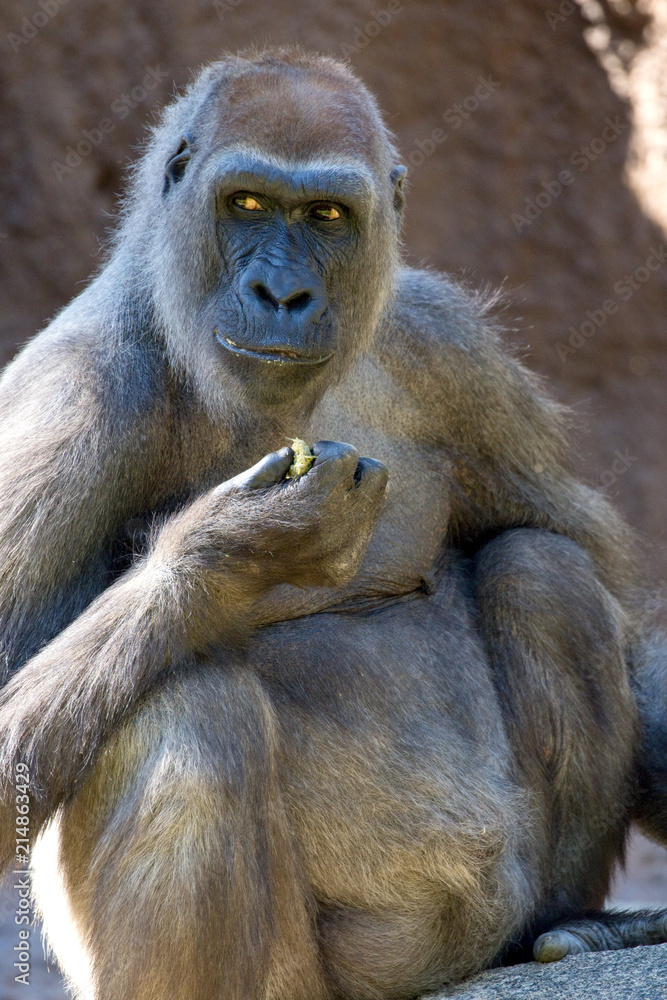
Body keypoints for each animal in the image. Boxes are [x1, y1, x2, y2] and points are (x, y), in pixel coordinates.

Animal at [0, 45, 666, 1000]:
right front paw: (239, 546)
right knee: (182, 707)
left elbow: (607, 588)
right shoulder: (70, 396)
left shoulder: (449, 345)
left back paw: (559, 924)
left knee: (545, 570)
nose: (280, 292)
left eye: (327, 216)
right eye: (244, 203)